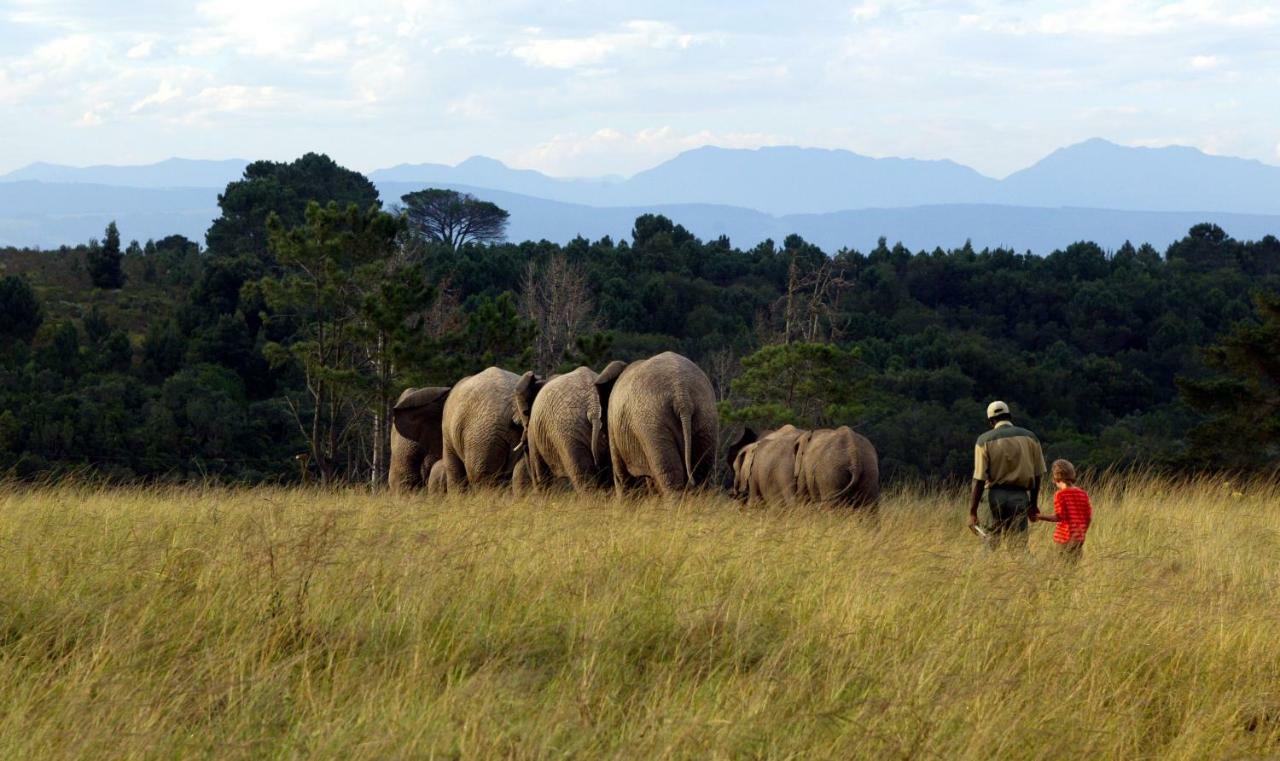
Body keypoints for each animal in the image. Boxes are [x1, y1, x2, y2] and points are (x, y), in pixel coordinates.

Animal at [591, 350, 721, 493]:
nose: (597, 464)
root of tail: (682, 397)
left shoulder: (613, 426)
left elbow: (622, 476)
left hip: (653, 426)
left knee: (669, 474)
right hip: (706, 418)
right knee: (702, 472)